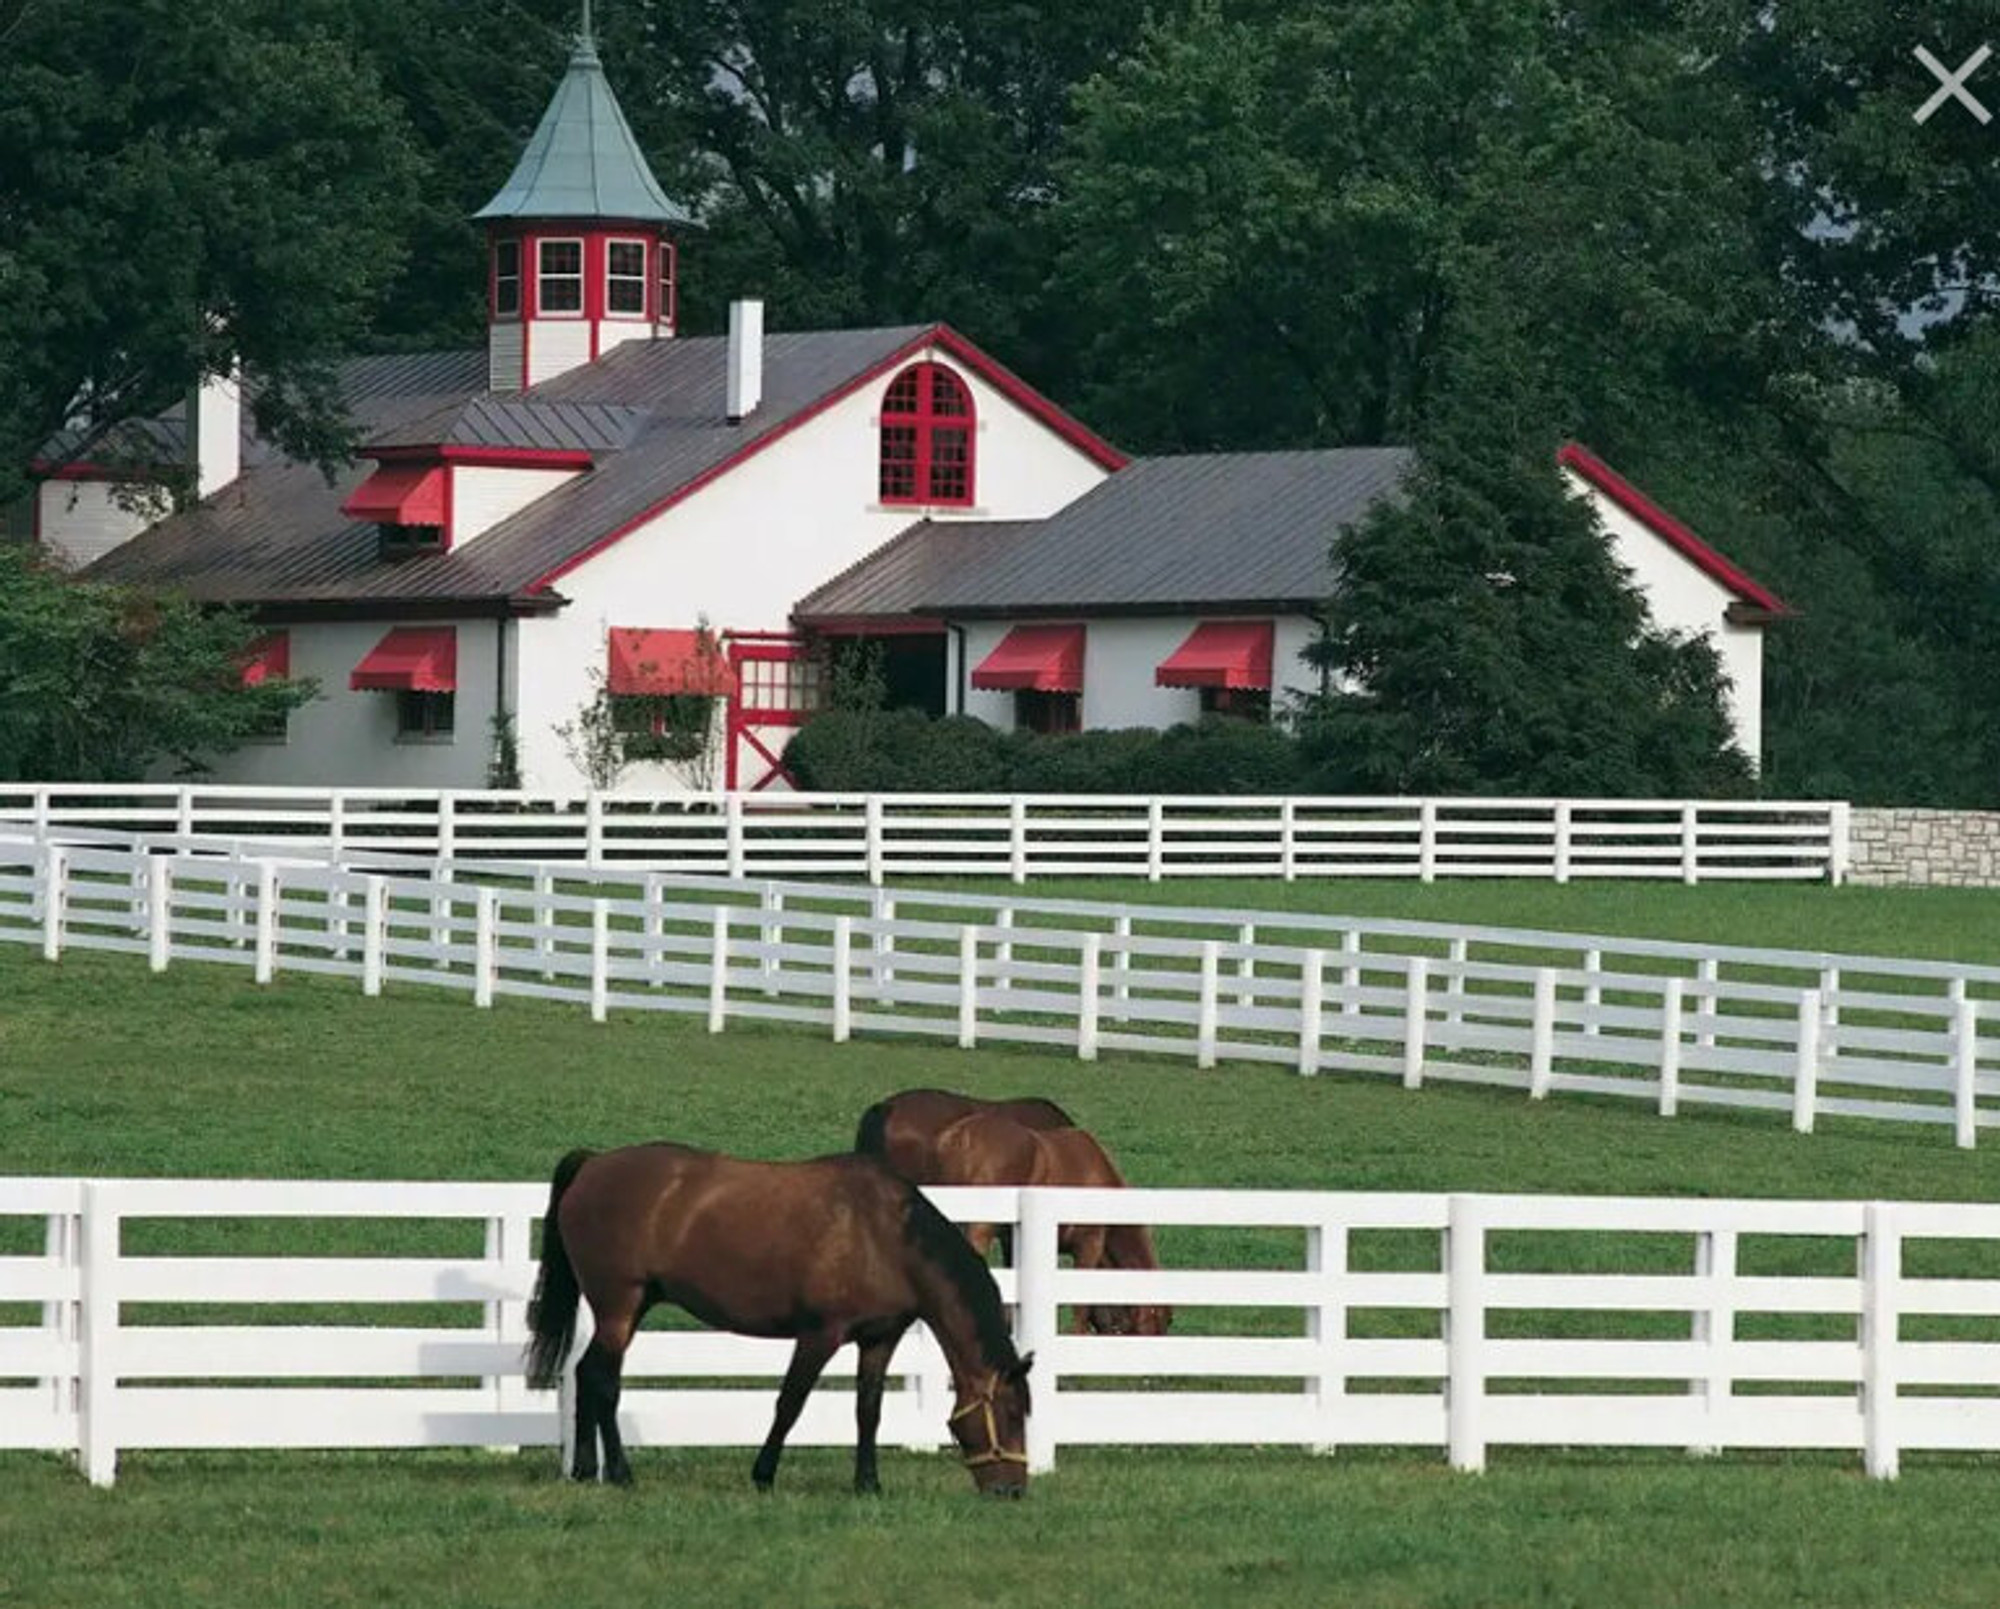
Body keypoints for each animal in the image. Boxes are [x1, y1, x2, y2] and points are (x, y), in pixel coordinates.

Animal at [524, 1144, 1040, 1496]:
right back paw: (621, 1473)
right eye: (1013, 1412)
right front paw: (763, 1474)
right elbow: (790, 1403)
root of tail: (594, 1164)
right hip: (619, 1305)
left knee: (585, 1373)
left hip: (630, 1307)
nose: (1012, 1490)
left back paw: (586, 1470)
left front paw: (867, 1484)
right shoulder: (819, 1336)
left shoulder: (878, 1340)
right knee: (603, 1380)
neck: (886, 1236)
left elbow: (868, 1410)